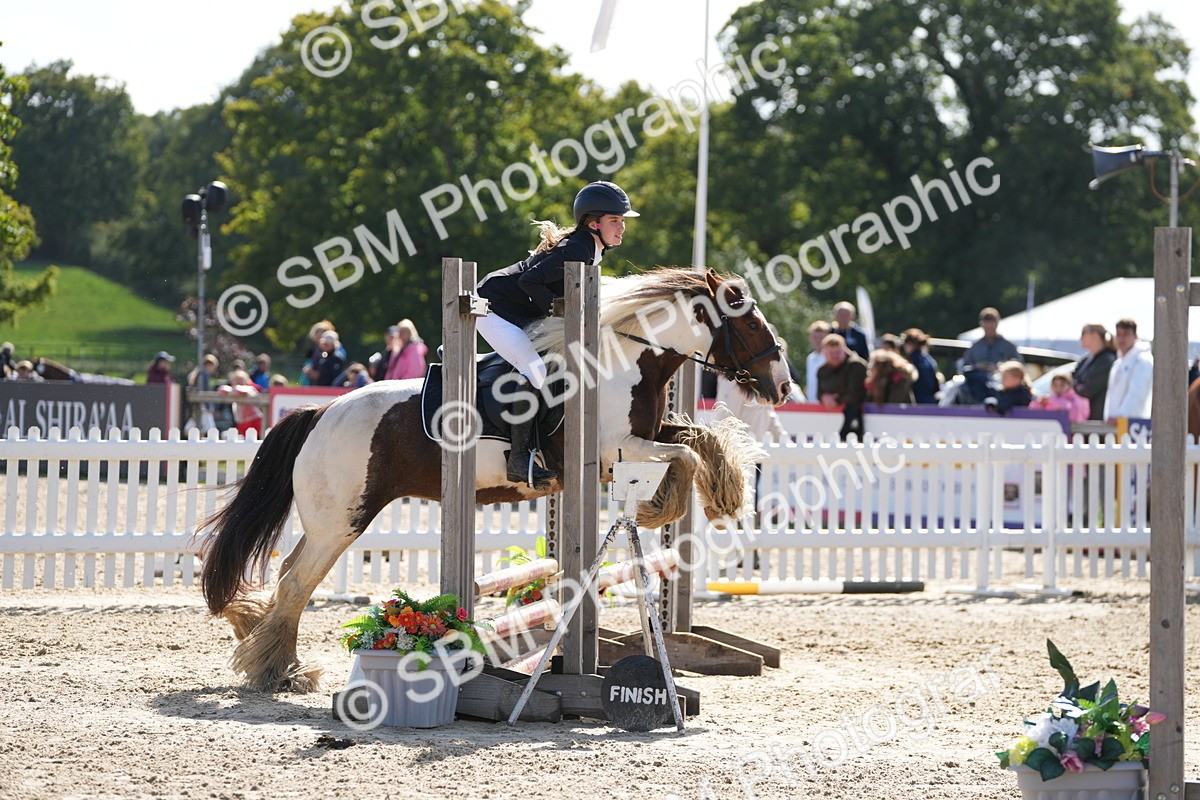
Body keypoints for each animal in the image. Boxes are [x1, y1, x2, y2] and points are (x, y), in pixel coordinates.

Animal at [199, 267, 793, 692]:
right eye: (747, 319)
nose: (783, 385)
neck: (623, 364)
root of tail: (320, 413)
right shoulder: (611, 453)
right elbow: (683, 456)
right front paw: (660, 509)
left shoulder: (644, 438)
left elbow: (697, 440)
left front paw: (723, 489)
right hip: (341, 520)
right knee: (297, 582)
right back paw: (277, 671)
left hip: (330, 521)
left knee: (288, 577)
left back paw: (277, 660)